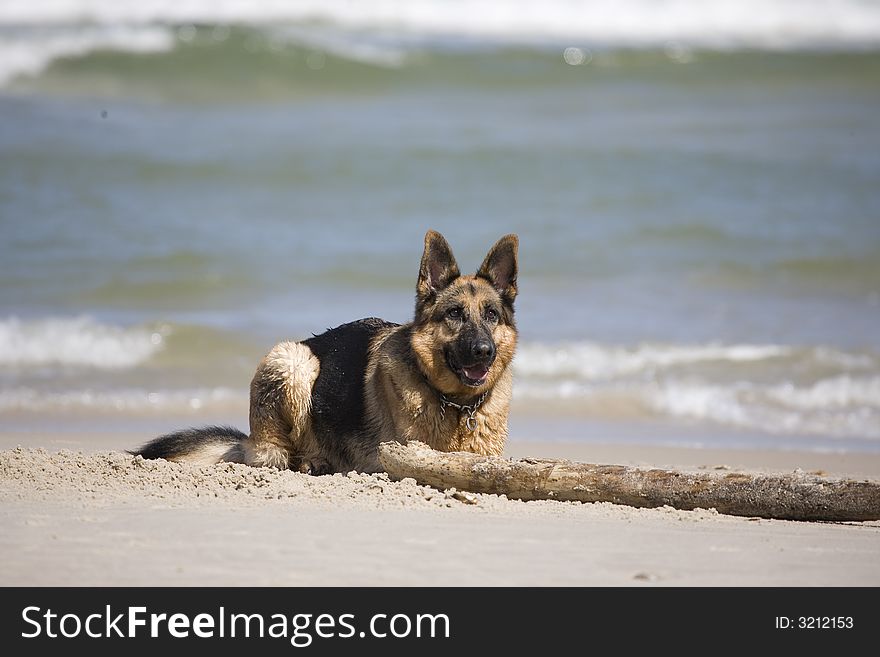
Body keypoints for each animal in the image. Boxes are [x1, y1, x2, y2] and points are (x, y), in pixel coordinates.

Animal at [131, 231, 516, 472]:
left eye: (491, 315)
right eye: (454, 314)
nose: (483, 352)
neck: (457, 406)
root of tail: (250, 440)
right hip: (296, 362)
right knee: (282, 454)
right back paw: (312, 462)